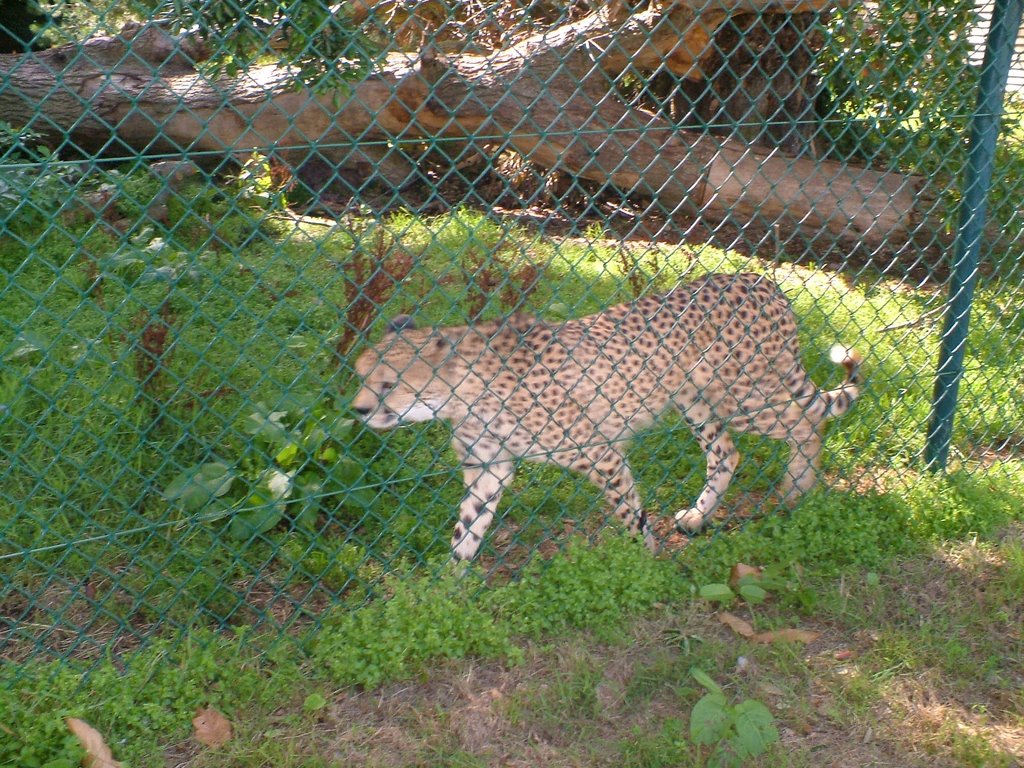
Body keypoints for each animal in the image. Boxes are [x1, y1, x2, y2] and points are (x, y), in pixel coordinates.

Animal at [352, 274, 856, 561]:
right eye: (360, 375)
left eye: (388, 384)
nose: (358, 410)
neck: (462, 393)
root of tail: (761, 280)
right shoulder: (488, 470)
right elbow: (466, 531)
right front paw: (447, 592)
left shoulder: (601, 453)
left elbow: (631, 514)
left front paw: (645, 563)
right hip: (695, 402)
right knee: (727, 454)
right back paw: (698, 517)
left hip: (746, 395)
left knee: (806, 423)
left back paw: (798, 492)